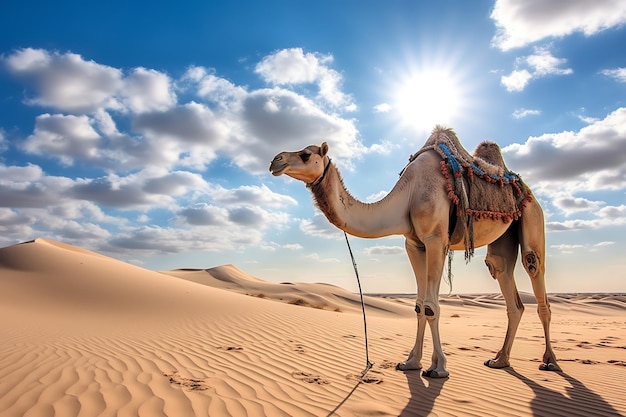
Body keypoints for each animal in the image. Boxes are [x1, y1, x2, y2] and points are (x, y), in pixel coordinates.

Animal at [268, 125, 560, 376]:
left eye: (306, 154)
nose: (275, 160)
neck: (407, 195)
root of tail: (524, 187)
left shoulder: (436, 240)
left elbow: (432, 306)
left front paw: (439, 368)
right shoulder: (414, 244)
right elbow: (419, 305)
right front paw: (411, 362)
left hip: (532, 215)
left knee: (535, 269)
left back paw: (550, 362)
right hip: (503, 238)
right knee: (506, 282)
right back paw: (500, 360)